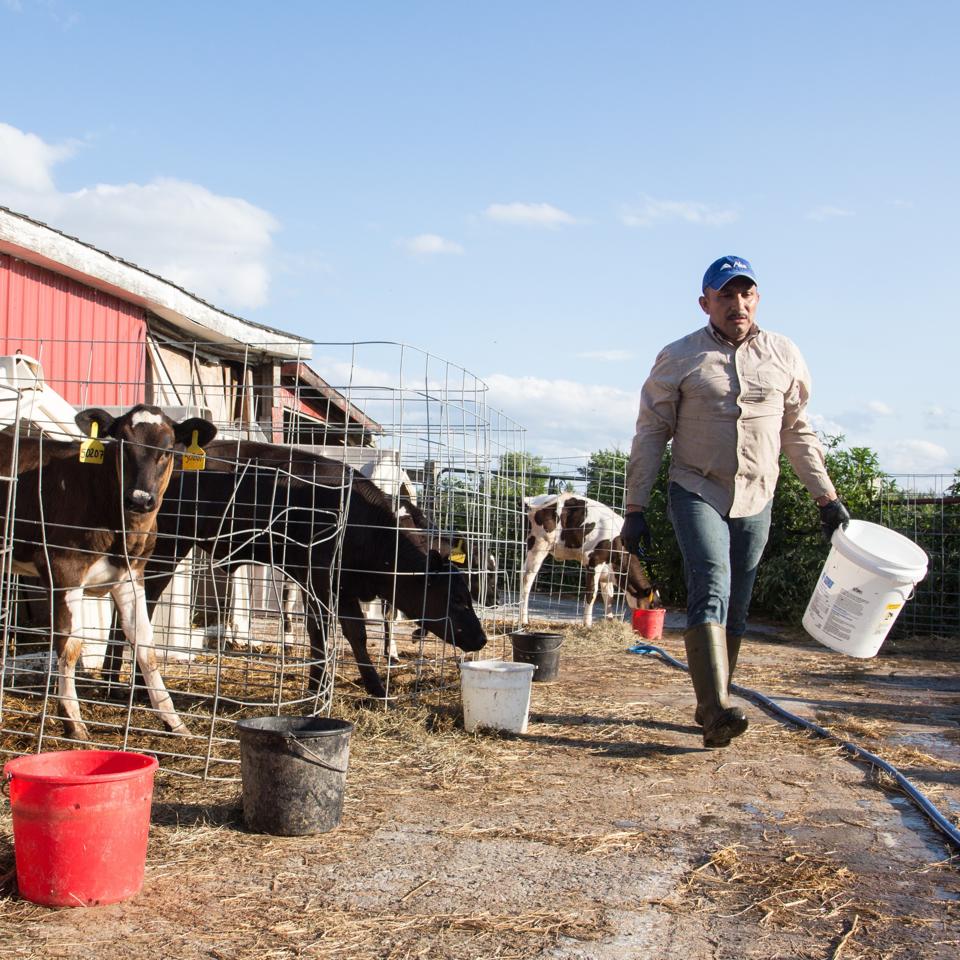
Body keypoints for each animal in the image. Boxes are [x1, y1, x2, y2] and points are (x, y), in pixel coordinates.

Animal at [516, 492, 660, 628]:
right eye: (652, 605)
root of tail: (532, 499)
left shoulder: (607, 573)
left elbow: (609, 596)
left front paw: (610, 621)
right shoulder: (595, 561)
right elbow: (592, 593)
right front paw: (587, 623)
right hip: (539, 545)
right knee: (526, 579)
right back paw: (524, 620)